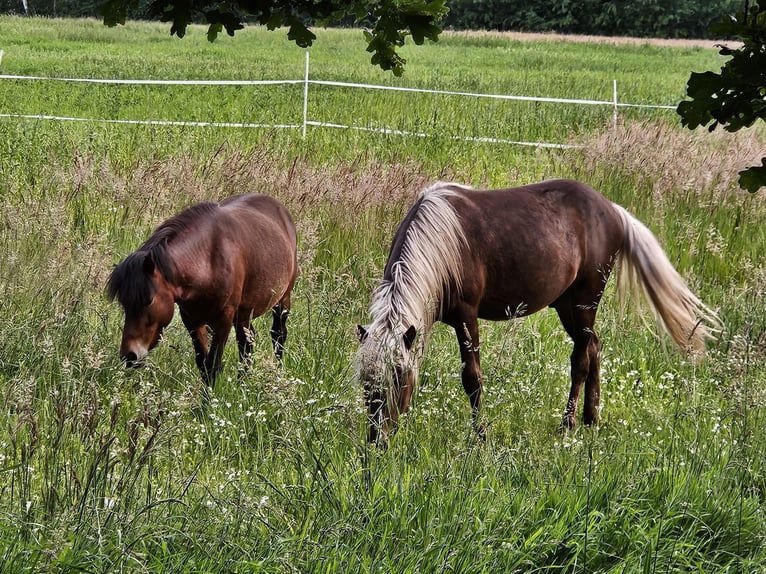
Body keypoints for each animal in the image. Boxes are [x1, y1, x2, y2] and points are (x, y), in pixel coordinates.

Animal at [107, 193, 299, 386]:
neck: (207, 260)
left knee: (278, 335)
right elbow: (202, 363)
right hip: (244, 313)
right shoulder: (192, 319)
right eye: (124, 304)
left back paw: (276, 373)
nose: (129, 356)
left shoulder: (225, 317)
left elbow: (213, 364)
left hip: (282, 299)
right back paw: (242, 383)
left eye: (148, 300)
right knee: (247, 342)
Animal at [356, 179, 721, 446]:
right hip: (566, 304)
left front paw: (480, 437)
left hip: (586, 299)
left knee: (581, 358)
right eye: (365, 382)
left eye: (398, 377)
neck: (443, 244)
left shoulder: (466, 316)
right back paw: (591, 419)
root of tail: (613, 210)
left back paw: (568, 424)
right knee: (594, 346)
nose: (377, 440)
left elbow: (472, 378)